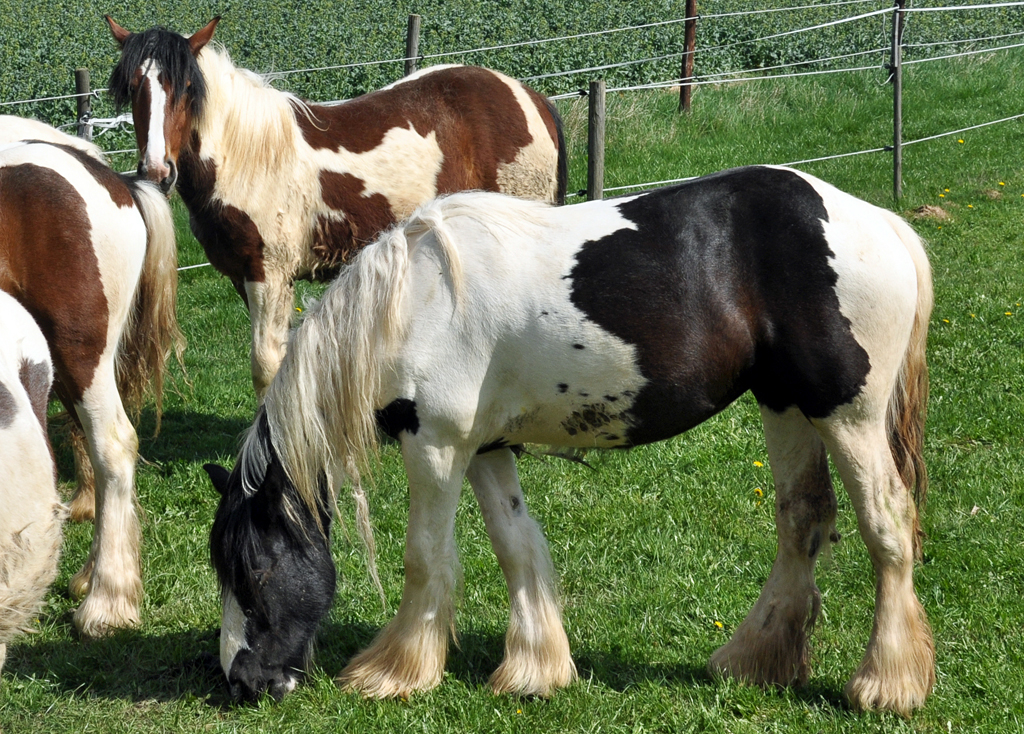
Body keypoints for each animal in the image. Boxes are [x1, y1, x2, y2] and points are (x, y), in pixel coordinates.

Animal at [109, 15, 573, 395]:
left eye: (187, 89)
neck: (248, 157)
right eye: (133, 89)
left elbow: (266, 366)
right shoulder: (243, 277)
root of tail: (531, 97)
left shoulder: (269, 274)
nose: (157, 171)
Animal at [207, 167, 937, 716]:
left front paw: (394, 672)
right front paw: (534, 671)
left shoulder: (436, 445)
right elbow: (517, 547)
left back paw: (887, 684)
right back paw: (754, 661)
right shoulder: (486, 450)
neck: (410, 306)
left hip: (848, 416)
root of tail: (884, 226)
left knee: (887, 525)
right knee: (801, 522)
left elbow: (424, 558)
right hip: (785, 405)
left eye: (256, 569)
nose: (243, 682)